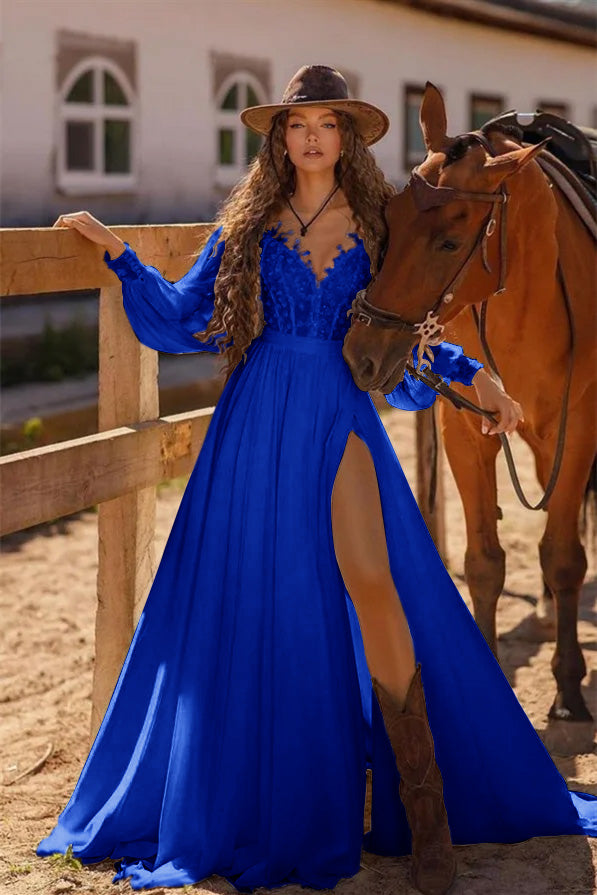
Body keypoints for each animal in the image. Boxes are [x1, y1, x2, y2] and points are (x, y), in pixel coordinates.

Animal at [342, 82, 592, 756]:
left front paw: (569, 691)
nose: (361, 353)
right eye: (389, 220)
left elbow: (564, 557)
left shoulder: (578, 434)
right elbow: (485, 564)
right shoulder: (466, 434)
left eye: (450, 243)